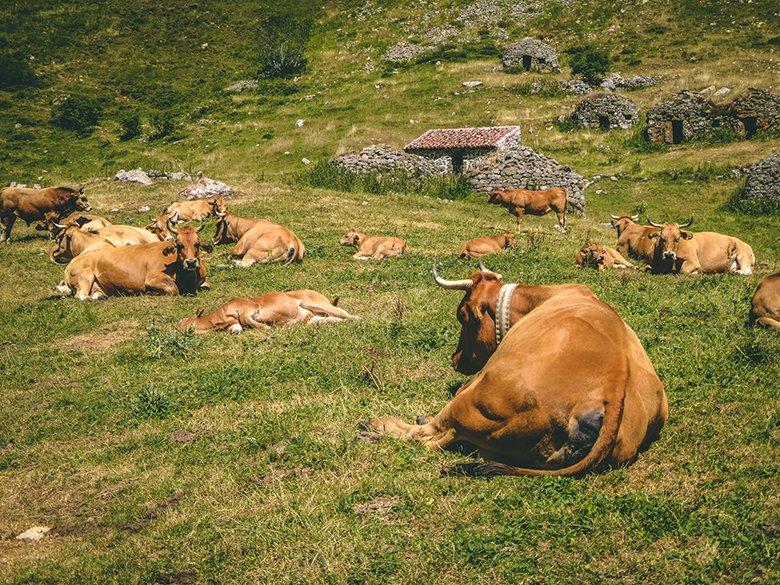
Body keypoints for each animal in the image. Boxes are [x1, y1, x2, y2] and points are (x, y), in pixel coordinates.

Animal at [55, 221, 210, 300]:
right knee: (81, 296)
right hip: (84, 278)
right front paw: (151, 292)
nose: (191, 262)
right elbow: (173, 289)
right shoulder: (153, 279)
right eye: (179, 244)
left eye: (197, 243)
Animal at [361, 264, 668, 477]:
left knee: (428, 437)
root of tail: (613, 385)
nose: (454, 359)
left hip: (472, 403)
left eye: (462, 316)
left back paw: (376, 427)